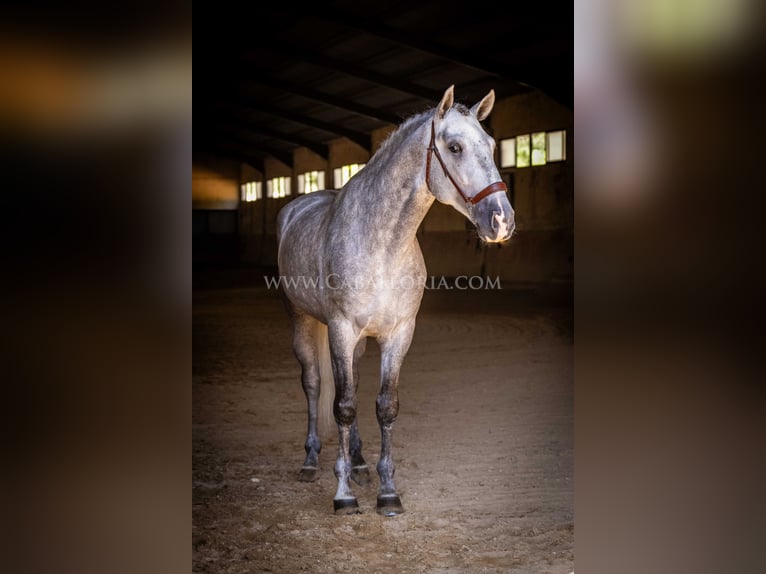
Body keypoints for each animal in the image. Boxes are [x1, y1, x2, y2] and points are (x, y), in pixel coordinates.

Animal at [276, 84, 516, 516]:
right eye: (454, 147)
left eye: (491, 145)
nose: (502, 220)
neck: (383, 244)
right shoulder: (340, 329)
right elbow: (343, 406)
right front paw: (343, 496)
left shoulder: (399, 334)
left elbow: (384, 405)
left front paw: (387, 491)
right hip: (302, 320)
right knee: (315, 385)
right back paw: (311, 461)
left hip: (354, 343)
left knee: (350, 385)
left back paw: (358, 463)